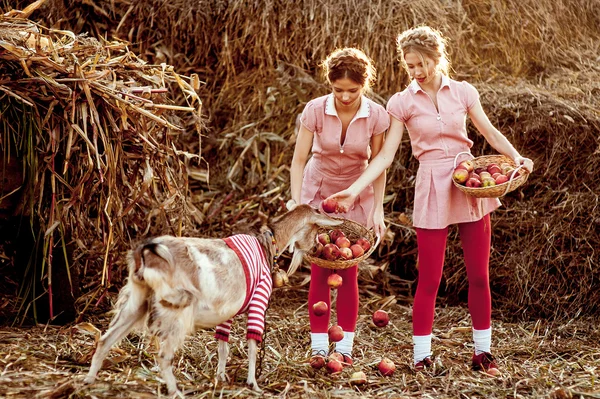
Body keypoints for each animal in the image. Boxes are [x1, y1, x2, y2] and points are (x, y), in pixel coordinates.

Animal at [84, 205, 342, 396]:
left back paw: (88, 381)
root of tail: (146, 252)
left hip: (136, 302)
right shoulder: (258, 300)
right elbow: (252, 343)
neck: (267, 241)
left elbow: (223, 346)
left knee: (105, 341)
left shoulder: (226, 310)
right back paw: (176, 392)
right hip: (177, 309)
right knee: (164, 355)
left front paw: (220, 377)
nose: (317, 248)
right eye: (317, 230)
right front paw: (253, 384)